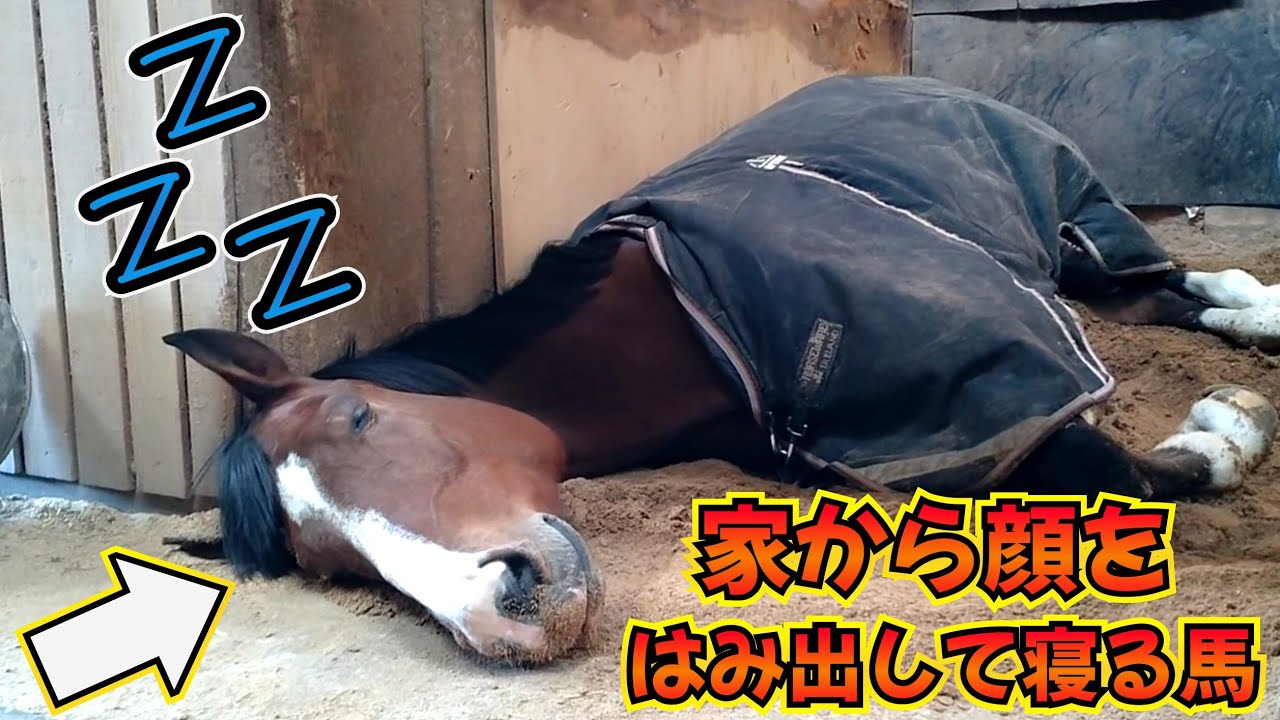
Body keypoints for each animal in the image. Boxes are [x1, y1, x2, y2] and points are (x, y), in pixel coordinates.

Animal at [164, 75, 1280, 664]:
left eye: (358, 416)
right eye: (326, 564)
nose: (501, 612)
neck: (679, 321)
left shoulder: (998, 365)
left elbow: (1113, 473)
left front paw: (1224, 432)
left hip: (1071, 228)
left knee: (1163, 284)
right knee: (1169, 298)